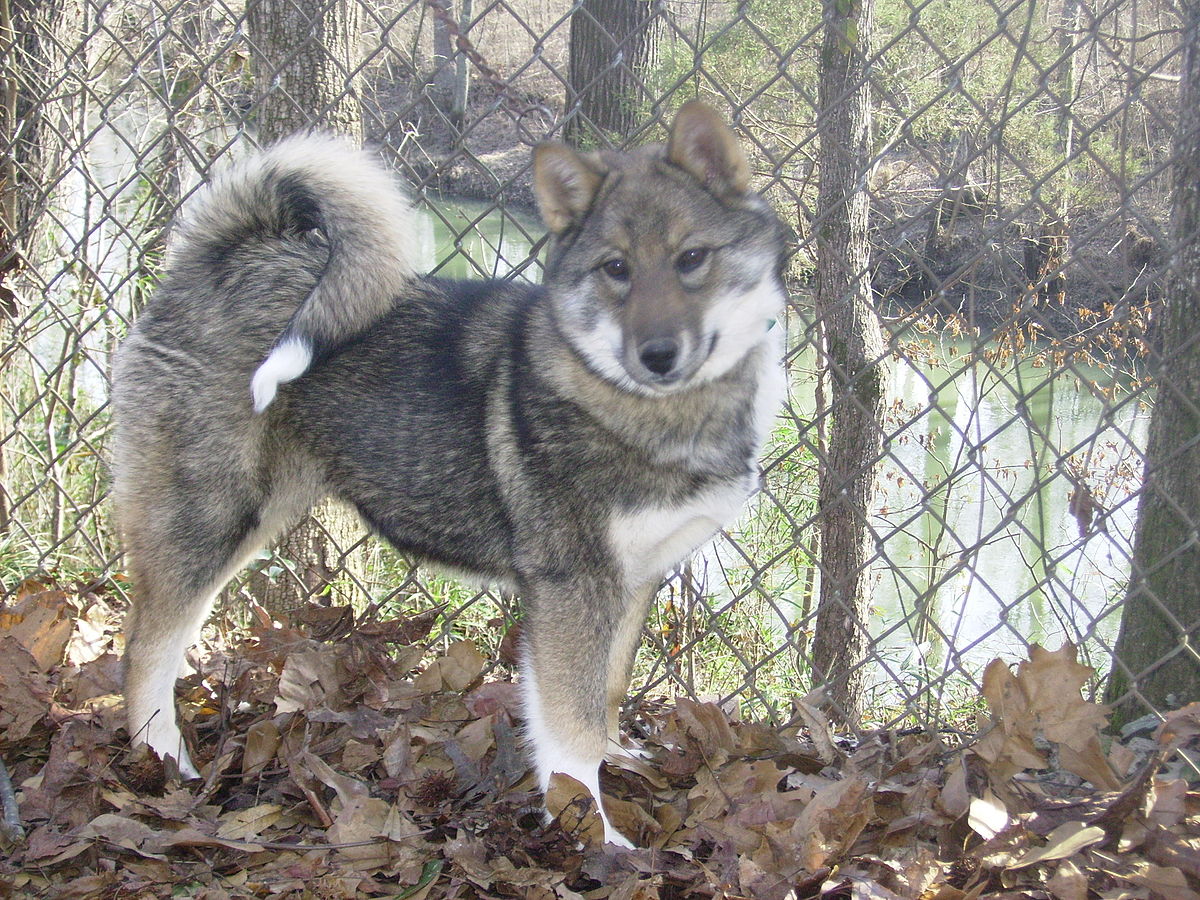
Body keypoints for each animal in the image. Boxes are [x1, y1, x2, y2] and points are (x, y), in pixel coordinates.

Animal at [110, 102, 787, 849]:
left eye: (692, 258)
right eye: (616, 269)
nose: (657, 355)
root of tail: (223, 257)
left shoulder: (632, 582)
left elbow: (605, 693)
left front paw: (616, 762)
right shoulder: (572, 587)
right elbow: (571, 725)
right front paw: (592, 829)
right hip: (210, 518)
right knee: (145, 650)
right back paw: (163, 760)